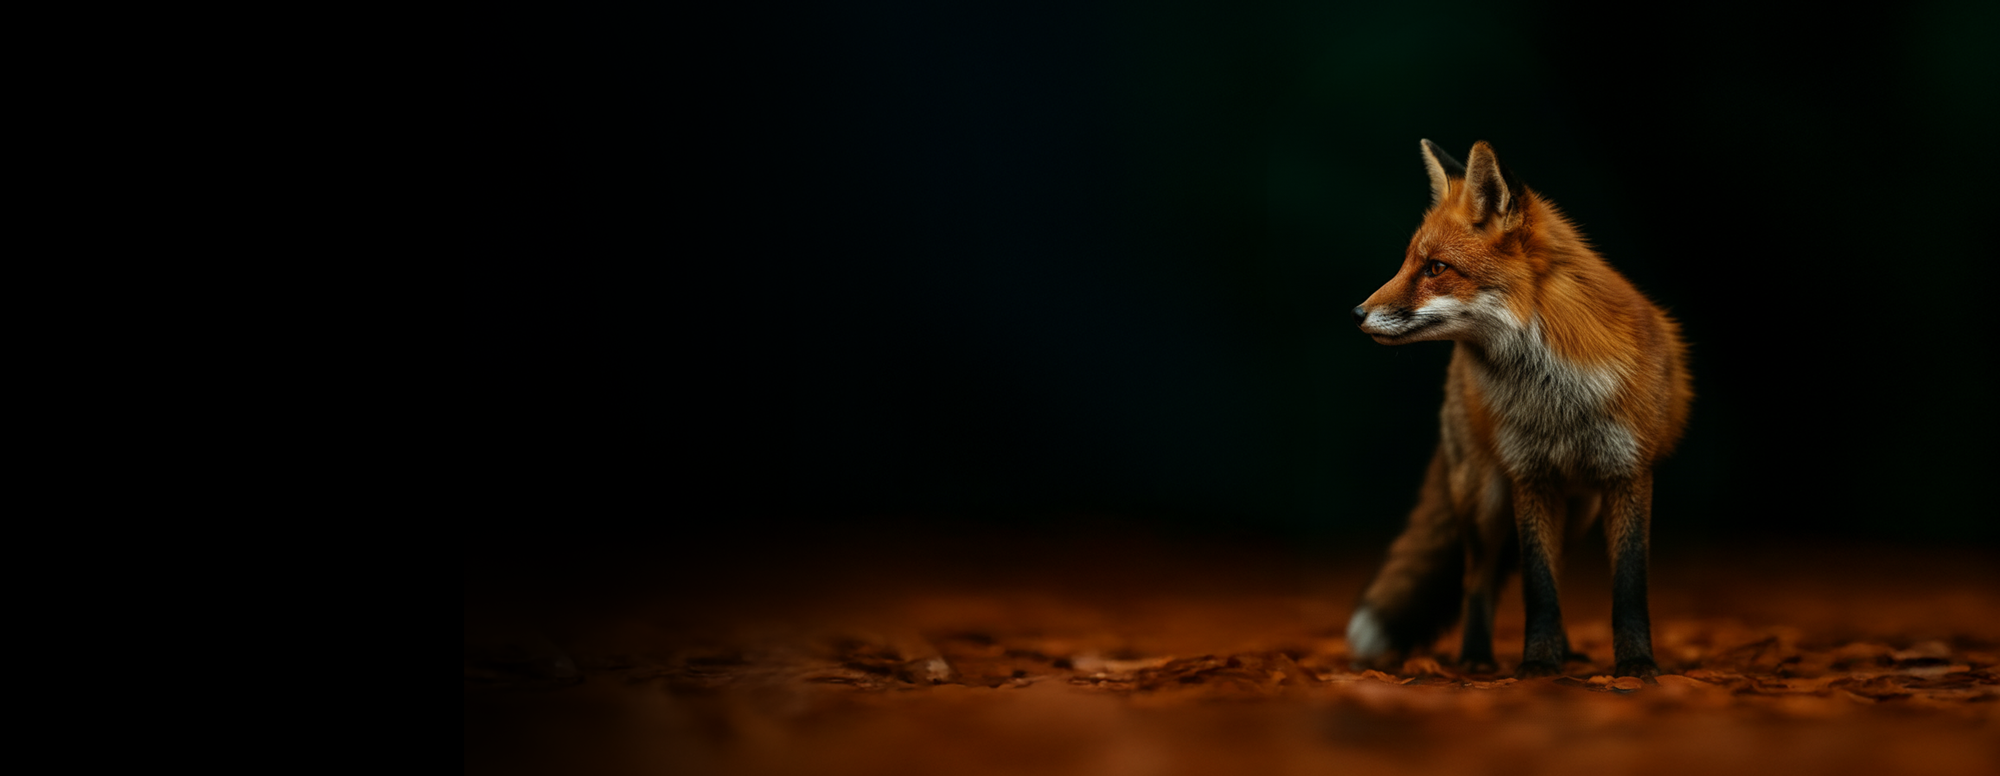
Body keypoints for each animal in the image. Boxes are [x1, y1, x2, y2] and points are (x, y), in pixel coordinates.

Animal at [1344, 140, 1691, 679]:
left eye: (1435, 268)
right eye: (1406, 264)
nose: (1357, 313)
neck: (1560, 399)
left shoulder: (1628, 474)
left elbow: (1628, 587)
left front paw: (1636, 664)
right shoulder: (1530, 478)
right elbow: (1537, 586)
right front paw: (1538, 666)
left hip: (1577, 511)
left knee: (1553, 571)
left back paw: (1565, 652)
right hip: (1486, 502)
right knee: (1477, 579)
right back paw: (1475, 658)